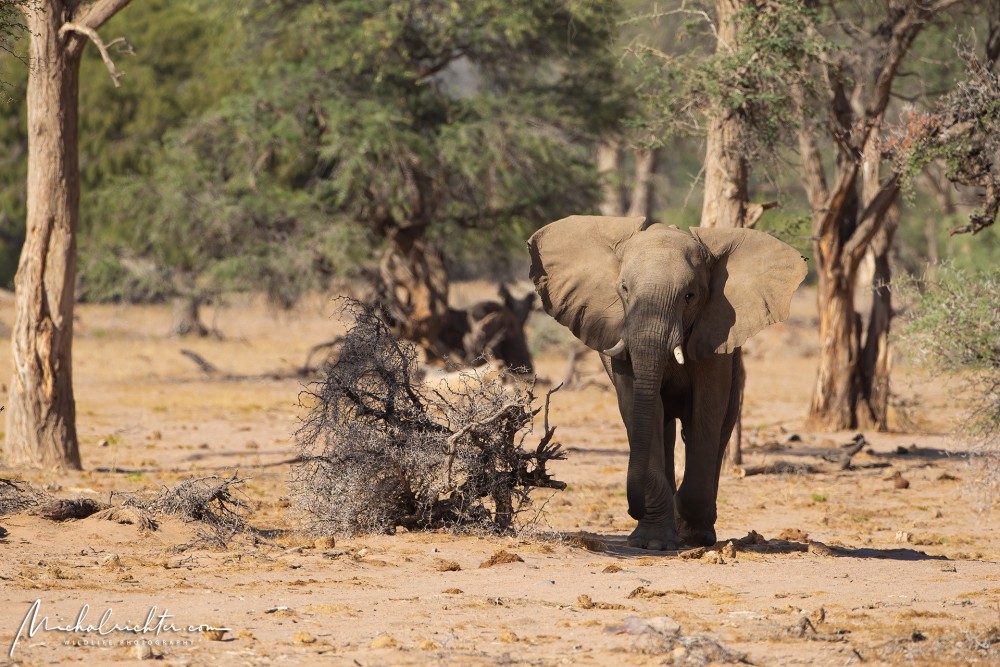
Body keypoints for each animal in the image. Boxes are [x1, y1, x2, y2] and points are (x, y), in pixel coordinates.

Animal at [528, 217, 808, 552]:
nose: (632, 509)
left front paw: (692, 535)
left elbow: (706, 412)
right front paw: (653, 543)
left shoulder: (716, 332)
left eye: (689, 296)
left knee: (719, 429)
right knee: (662, 426)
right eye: (624, 288)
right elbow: (636, 405)